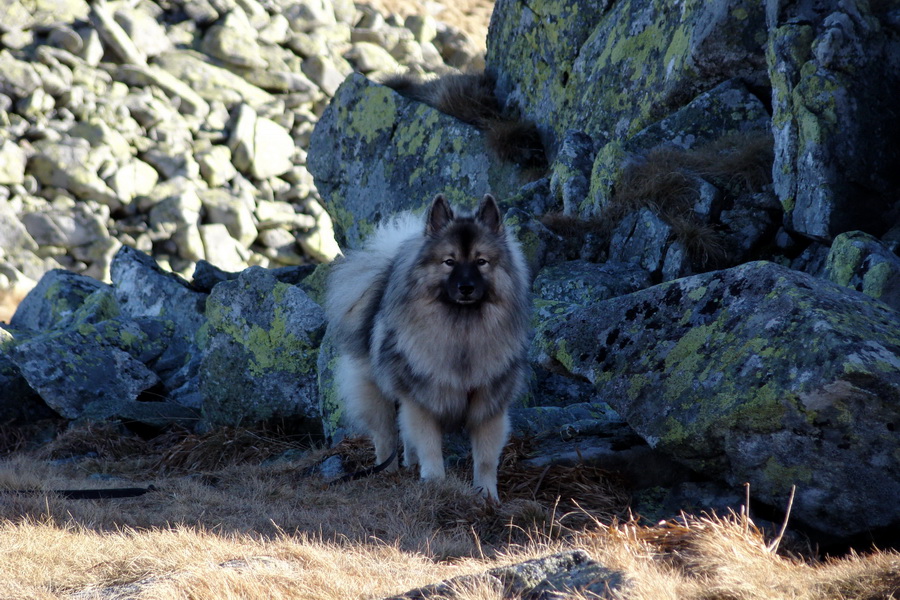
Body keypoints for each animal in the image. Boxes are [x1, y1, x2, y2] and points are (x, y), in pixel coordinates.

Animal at [326, 195, 532, 500]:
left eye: (481, 261)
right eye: (449, 262)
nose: (466, 287)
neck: (462, 332)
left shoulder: (488, 406)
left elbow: (485, 458)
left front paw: (486, 495)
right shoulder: (421, 401)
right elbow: (431, 449)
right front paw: (436, 484)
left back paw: (410, 464)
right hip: (378, 392)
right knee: (385, 435)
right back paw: (387, 472)